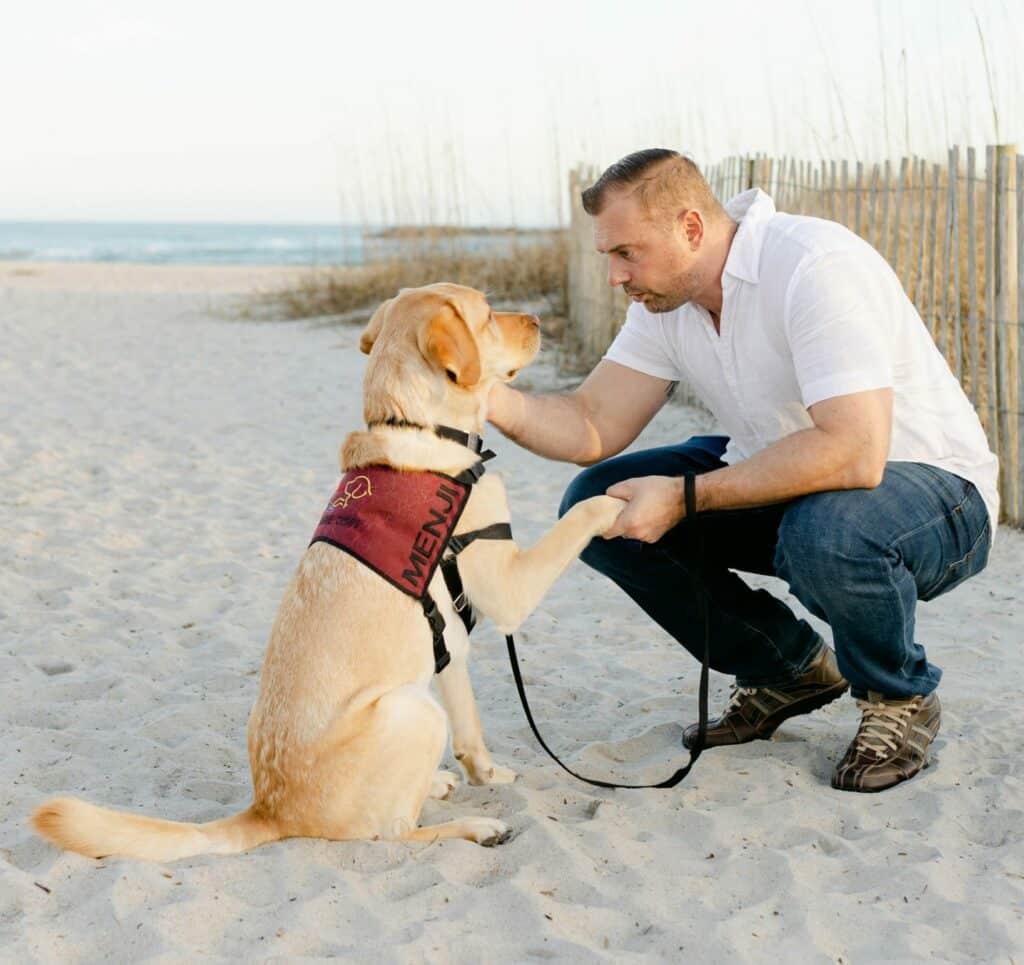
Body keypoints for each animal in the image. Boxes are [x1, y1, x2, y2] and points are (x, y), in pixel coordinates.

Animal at [32, 284, 622, 860]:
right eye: (488, 314)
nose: (539, 321)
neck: (422, 428)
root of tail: (270, 810)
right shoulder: (507, 590)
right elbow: (580, 515)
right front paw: (619, 502)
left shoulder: (449, 640)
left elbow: (471, 730)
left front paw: (487, 773)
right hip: (412, 709)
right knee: (393, 832)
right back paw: (476, 827)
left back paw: (437, 782)